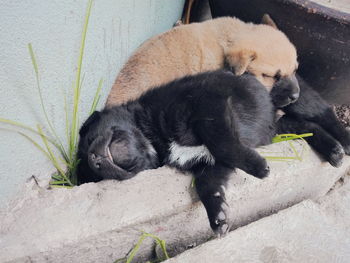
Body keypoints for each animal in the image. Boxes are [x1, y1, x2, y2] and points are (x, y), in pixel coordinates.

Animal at [77, 70, 350, 237]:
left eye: (90, 139)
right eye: (96, 175)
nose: (94, 159)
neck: (154, 139)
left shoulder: (208, 105)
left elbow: (221, 142)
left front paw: (257, 166)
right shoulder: (210, 164)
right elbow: (208, 185)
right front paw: (217, 216)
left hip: (298, 99)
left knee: (323, 114)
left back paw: (344, 141)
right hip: (279, 128)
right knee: (306, 126)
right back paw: (333, 150)